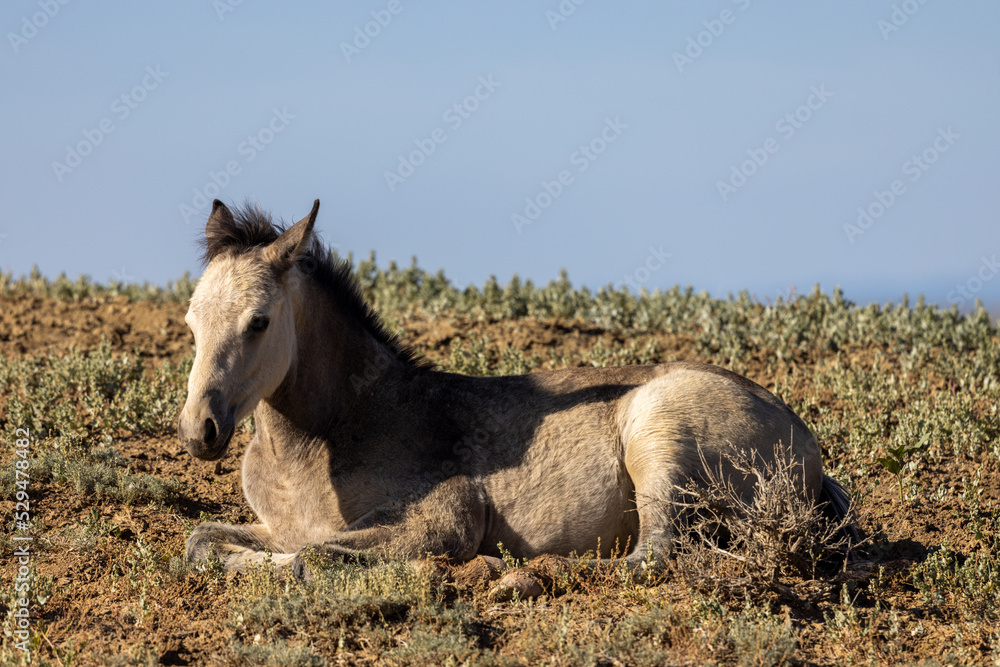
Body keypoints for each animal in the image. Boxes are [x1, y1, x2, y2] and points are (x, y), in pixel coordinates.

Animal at [178, 199, 854, 577]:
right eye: (189, 318)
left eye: (259, 321)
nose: (198, 430)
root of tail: (807, 447)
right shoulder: (278, 526)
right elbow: (205, 542)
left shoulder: (444, 520)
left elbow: (314, 557)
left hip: (658, 436)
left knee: (649, 558)